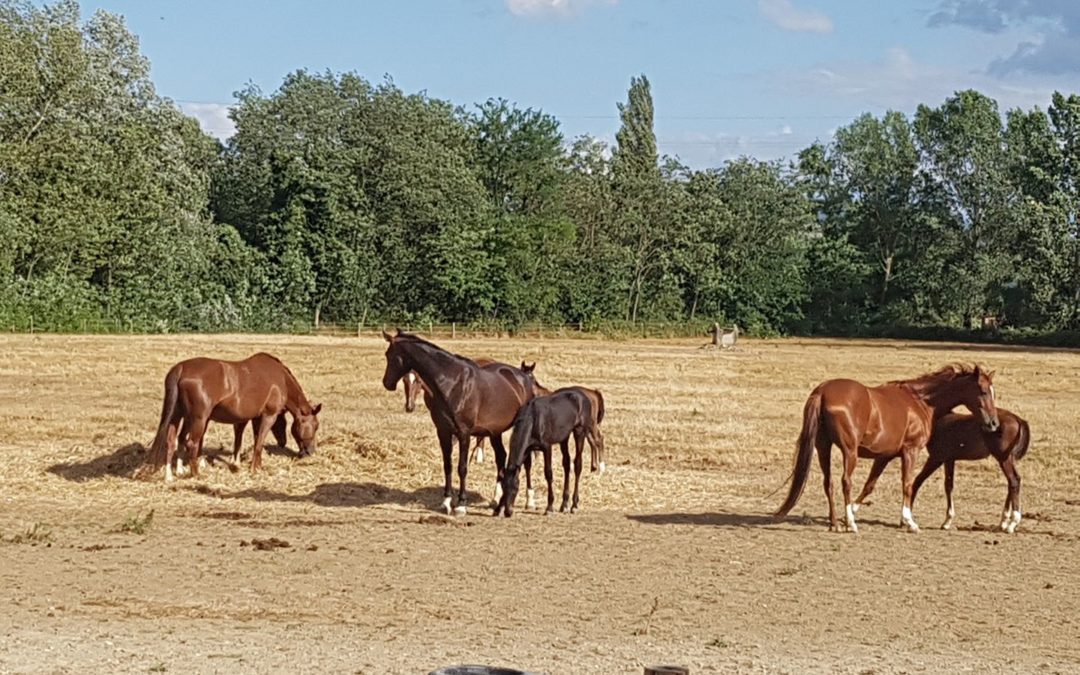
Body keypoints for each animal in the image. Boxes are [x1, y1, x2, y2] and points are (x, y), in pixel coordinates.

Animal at [146, 352, 319, 479]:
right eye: (315, 426)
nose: (311, 451)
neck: (280, 379)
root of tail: (181, 367)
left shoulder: (255, 418)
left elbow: (254, 441)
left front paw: (253, 465)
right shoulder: (269, 416)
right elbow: (259, 444)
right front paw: (255, 469)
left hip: (178, 415)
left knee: (172, 441)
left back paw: (170, 476)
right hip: (198, 418)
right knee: (191, 443)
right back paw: (196, 474)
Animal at [384, 328, 544, 514]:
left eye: (389, 354)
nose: (387, 383)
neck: (452, 383)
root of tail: (524, 378)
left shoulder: (464, 433)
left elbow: (462, 467)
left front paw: (461, 504)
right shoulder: (443, 432)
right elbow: (448, 466)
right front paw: (446, 502)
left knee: (527, 461)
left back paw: (529, 501)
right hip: (495, 432)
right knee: (501, 457)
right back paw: (496, 499)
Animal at [498, 384, 600, 516]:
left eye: (516, 487)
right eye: (503, 487)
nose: (508, 511)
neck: (533, 419)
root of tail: (584, 396)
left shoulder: (547, 447)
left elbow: (548, 473)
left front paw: (549, 507)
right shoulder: (527, 449)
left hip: (579, 432)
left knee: (578, 465)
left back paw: (574, 505)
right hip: (564, 438)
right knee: (567, 465)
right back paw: (564, 504)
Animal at [777, 362, 993, 531]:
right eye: (983, 391)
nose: (993, 423)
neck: (920, 401)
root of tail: (822, 391)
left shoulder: (884, 456)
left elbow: (870, 485)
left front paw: (854, 510)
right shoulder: (910, 452)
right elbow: (907, 484)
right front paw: (909, 521)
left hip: (823, 447)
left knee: (828, 483)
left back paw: (835, 523)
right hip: (850, 451)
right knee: (845, 481)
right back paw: (851, 525)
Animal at [851, 408, 1028, 533]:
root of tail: (1018, 419)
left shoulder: (936, 458)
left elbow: (916, 483)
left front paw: (905, 520)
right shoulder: (949, 459)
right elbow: (948, 485)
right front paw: (947, 521)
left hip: (1003, 458)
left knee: (1014, 481)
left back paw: (1011, 524)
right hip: (1006, 458)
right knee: (1013, 482)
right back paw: (1004, 522)